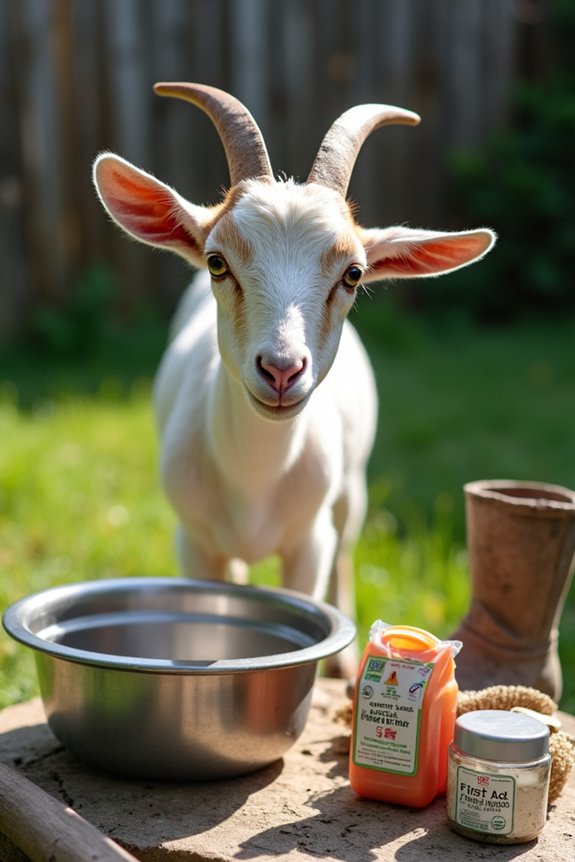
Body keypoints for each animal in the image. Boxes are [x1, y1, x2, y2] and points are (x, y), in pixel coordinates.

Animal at [93, 83, 495, 677]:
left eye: (352, 274)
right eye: (217, 262)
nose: (281, 370)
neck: (255, 479)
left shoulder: (311, 543)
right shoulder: (194, 542)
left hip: (352, 493)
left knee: (348, 555)